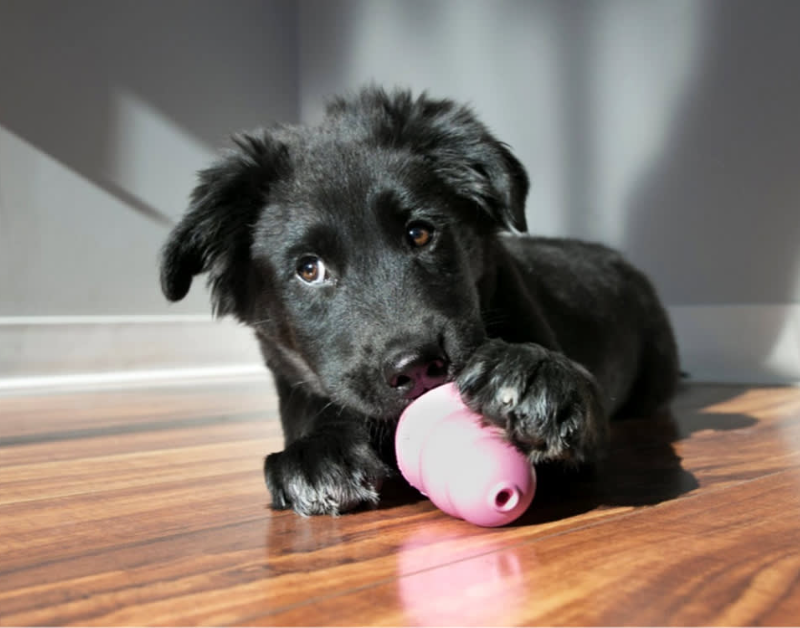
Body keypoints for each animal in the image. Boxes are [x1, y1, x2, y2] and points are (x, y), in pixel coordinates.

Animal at [159, 86, 680, 516]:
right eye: (309, 269)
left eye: (420, 233)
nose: (418, 367)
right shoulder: (290, 378)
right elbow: (313, 406)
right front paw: (318, 451)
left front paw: (537, 374)